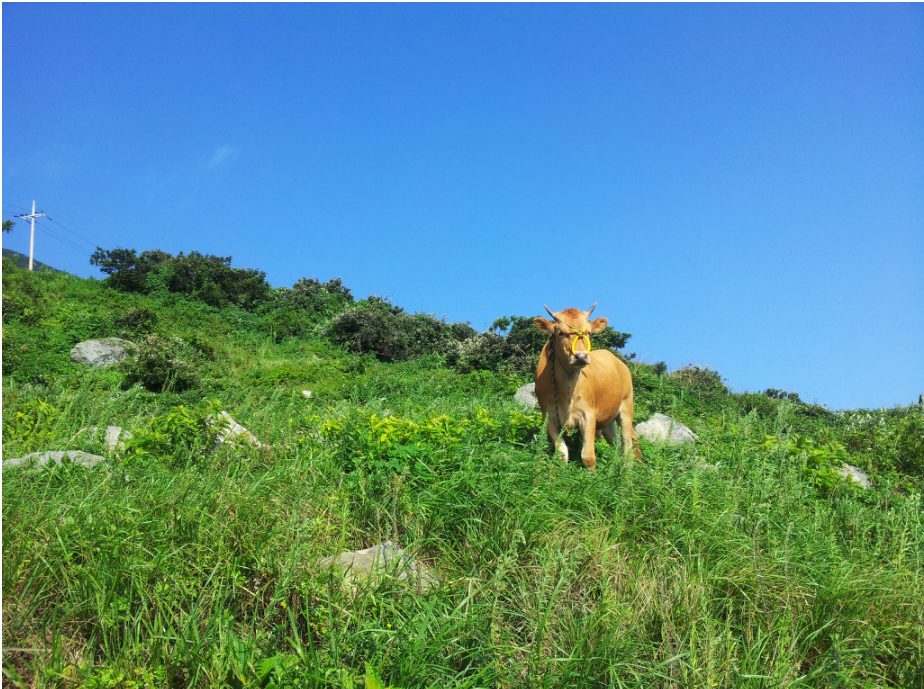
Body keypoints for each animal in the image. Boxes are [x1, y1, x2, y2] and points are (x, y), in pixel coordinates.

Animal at [536, 300, 644, 468]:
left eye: (589, 333)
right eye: (560, 332)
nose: (580, 356)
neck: (566, 393)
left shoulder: (588, 414)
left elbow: (588, 456)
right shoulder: (548, 416)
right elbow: (561, 453)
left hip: (627, 406)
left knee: (627, 447)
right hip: (608, 419)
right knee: (616, 445)